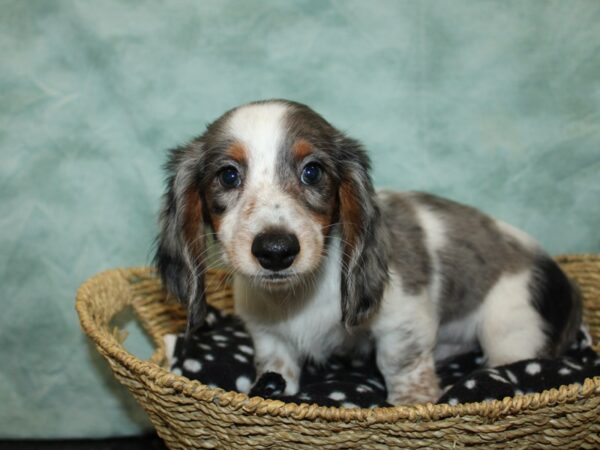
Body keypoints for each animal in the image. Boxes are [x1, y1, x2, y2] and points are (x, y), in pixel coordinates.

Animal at [155, 100, 580, 406]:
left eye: (312, 172)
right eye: (228, 175)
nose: (276, 251)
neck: (301, 295)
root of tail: (564, 281)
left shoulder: (403, 321)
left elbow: (399, 365)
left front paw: (412, 404)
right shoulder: (267, 334)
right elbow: (276, 367)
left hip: (510, 335)